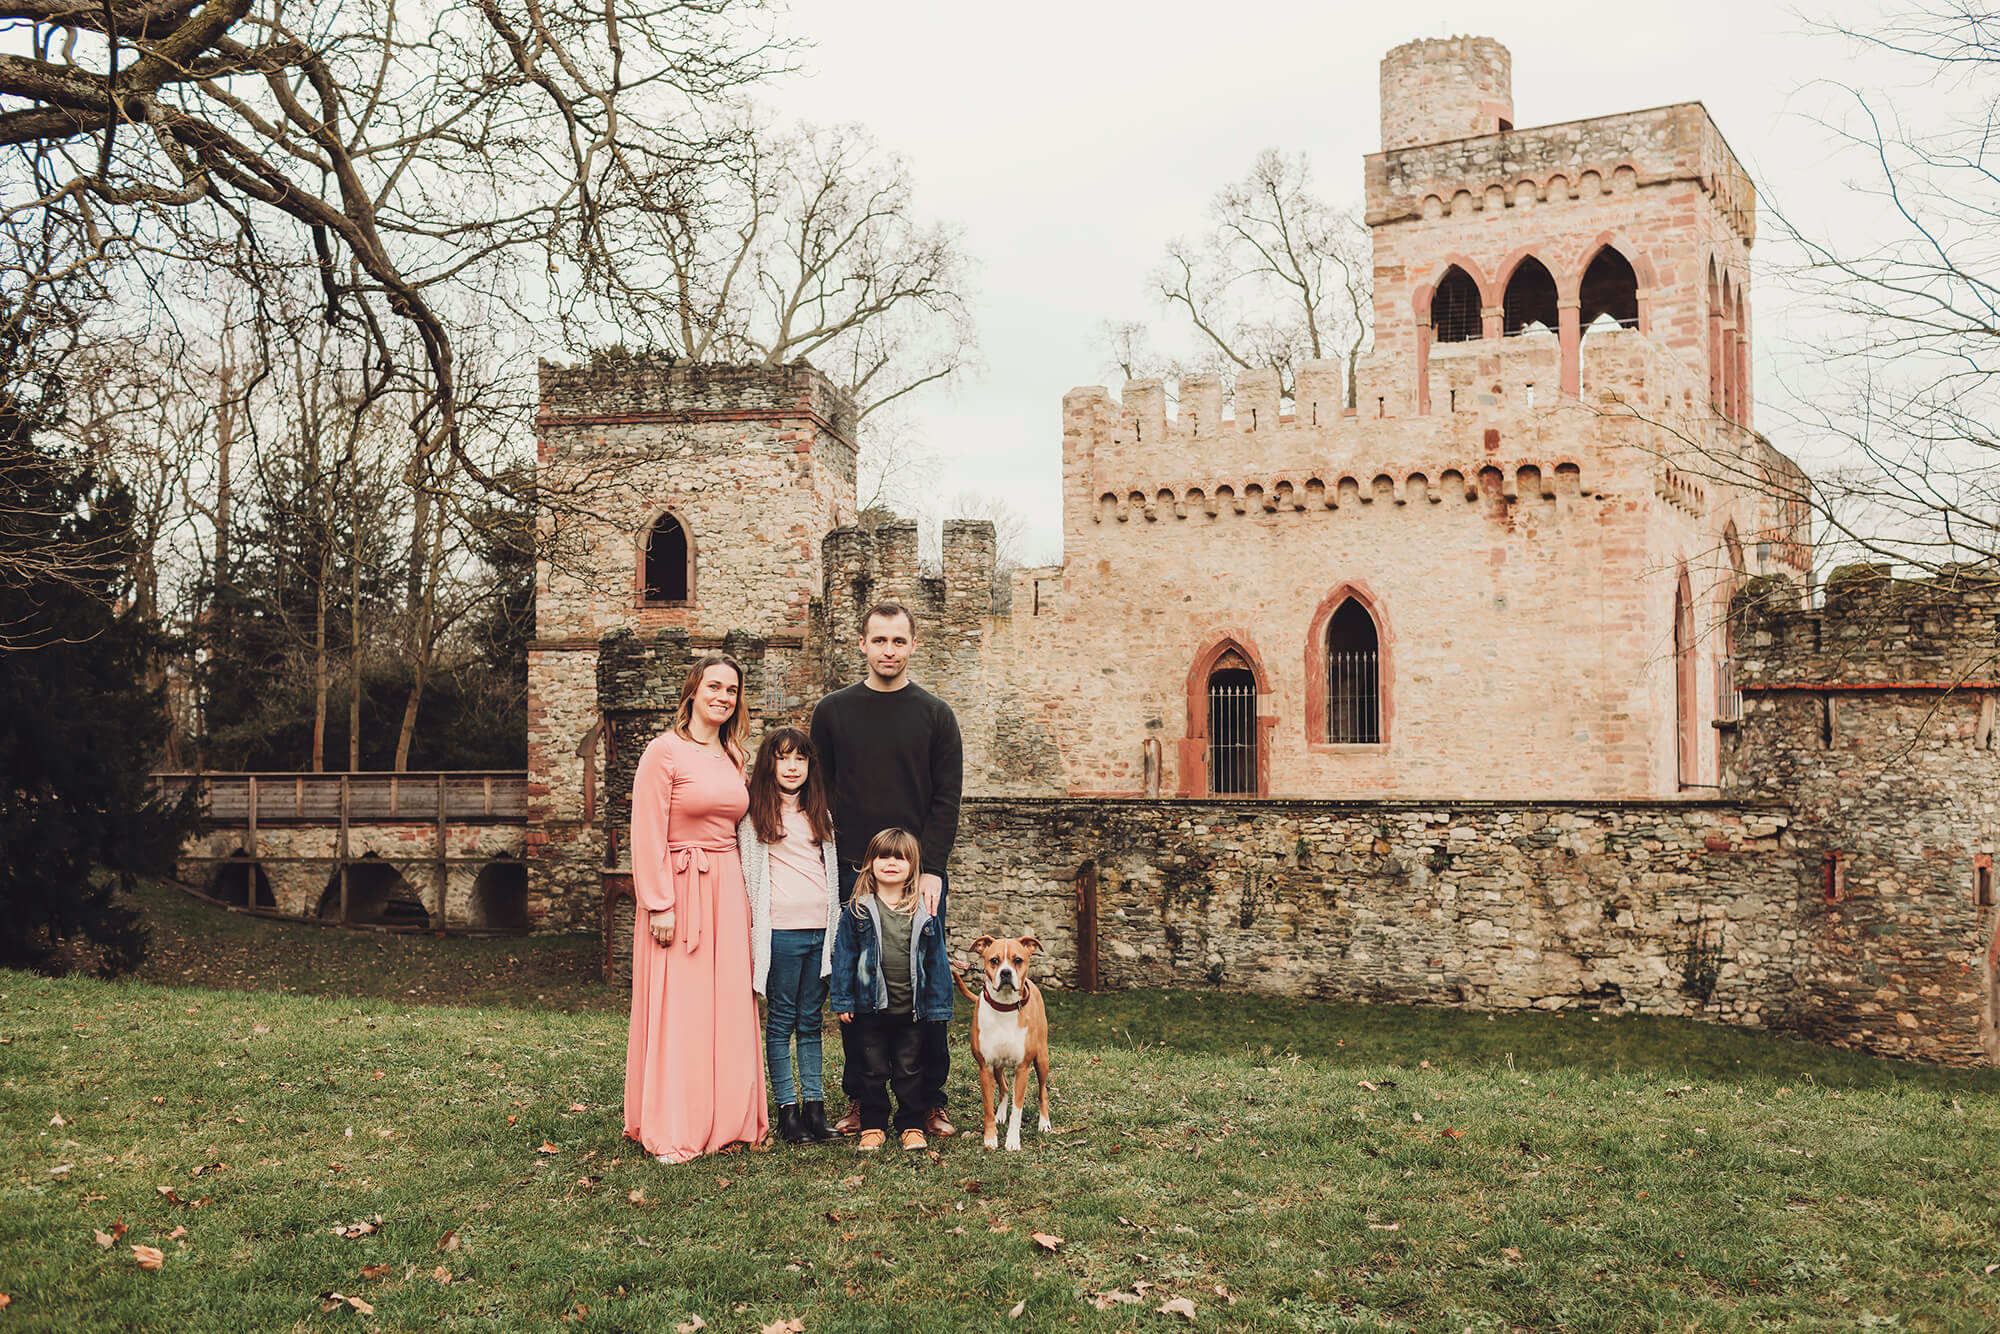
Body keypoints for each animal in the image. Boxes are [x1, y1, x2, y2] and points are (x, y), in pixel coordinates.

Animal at [960, 940, 1056, 1152]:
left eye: (1018, 960)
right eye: (994, 960)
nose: (1005, 973)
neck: (1004, 1007)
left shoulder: (1023, 1068)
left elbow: (1018, 1110)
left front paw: (1012, 1140)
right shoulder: (985, 1067)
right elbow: (988, 1106)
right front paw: (990, 1137)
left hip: (1042, 1060)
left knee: (1042, 1092)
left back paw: (1044, 1123)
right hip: (998, 1066)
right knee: (1003, 1087)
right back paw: (1001, 1114)